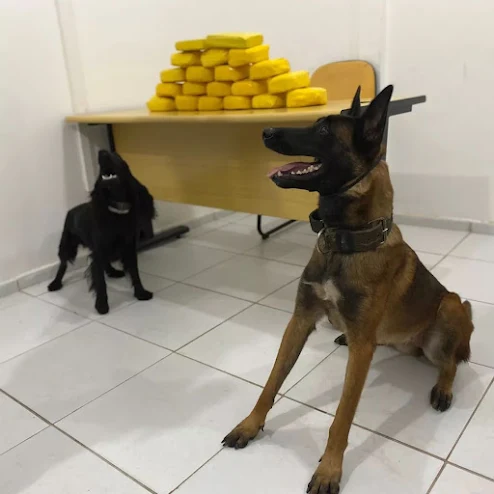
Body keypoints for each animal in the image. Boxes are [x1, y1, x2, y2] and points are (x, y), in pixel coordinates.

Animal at [48, 149, 155, 314]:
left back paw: (112, 271)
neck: (116, 212)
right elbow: (100, 281)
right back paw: (55, 283)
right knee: (63, 264)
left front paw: (141, 293)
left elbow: (135, 273)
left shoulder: (128, 248)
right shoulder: (98, 251)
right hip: (67, 245)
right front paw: (102, 305)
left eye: (118, 156)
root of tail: (71, 210)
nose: (102, 152)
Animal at [222, 86, 474, 493]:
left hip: (452, 307)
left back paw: (444, 387)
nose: (266, 130)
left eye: (325, 130)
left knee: (451, 360)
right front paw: (250, 424)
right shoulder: (300, 320)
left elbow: (342, 416)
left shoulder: (360, 354)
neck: (344, 241)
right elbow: (271, 382)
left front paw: (329, 469)